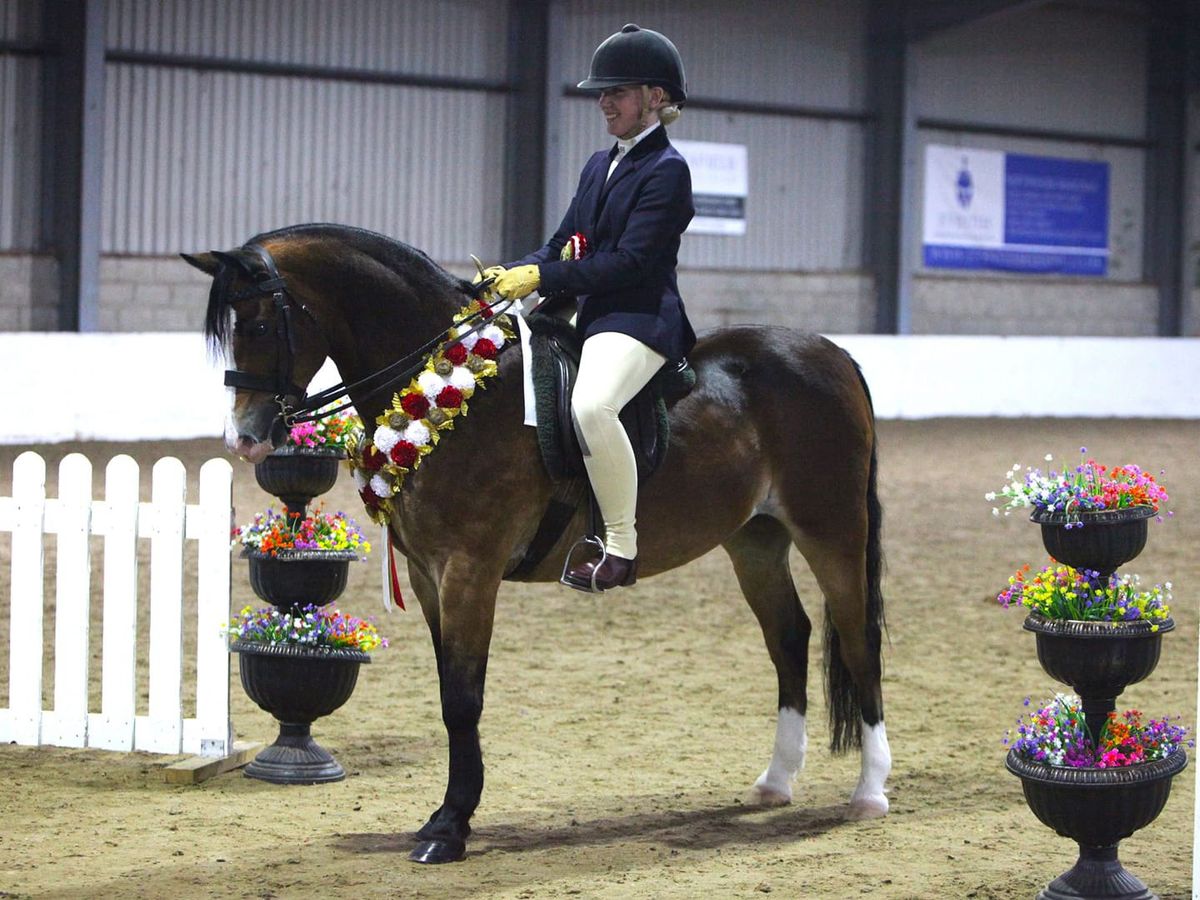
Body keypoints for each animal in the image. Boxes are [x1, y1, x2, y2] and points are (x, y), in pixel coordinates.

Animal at [180, 222, 892, 864]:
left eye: (260, 326)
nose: (245, 439)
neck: (448, 391)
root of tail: (834, 355)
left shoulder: (469, 570)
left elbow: (463, 698)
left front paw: (449, 829)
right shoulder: (429, 576)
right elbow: (448, 693)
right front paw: (442, 819)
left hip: (832, 529)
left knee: (859, 640)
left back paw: (869, 793)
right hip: (755, 540)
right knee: (789, 637)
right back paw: (776, 782)